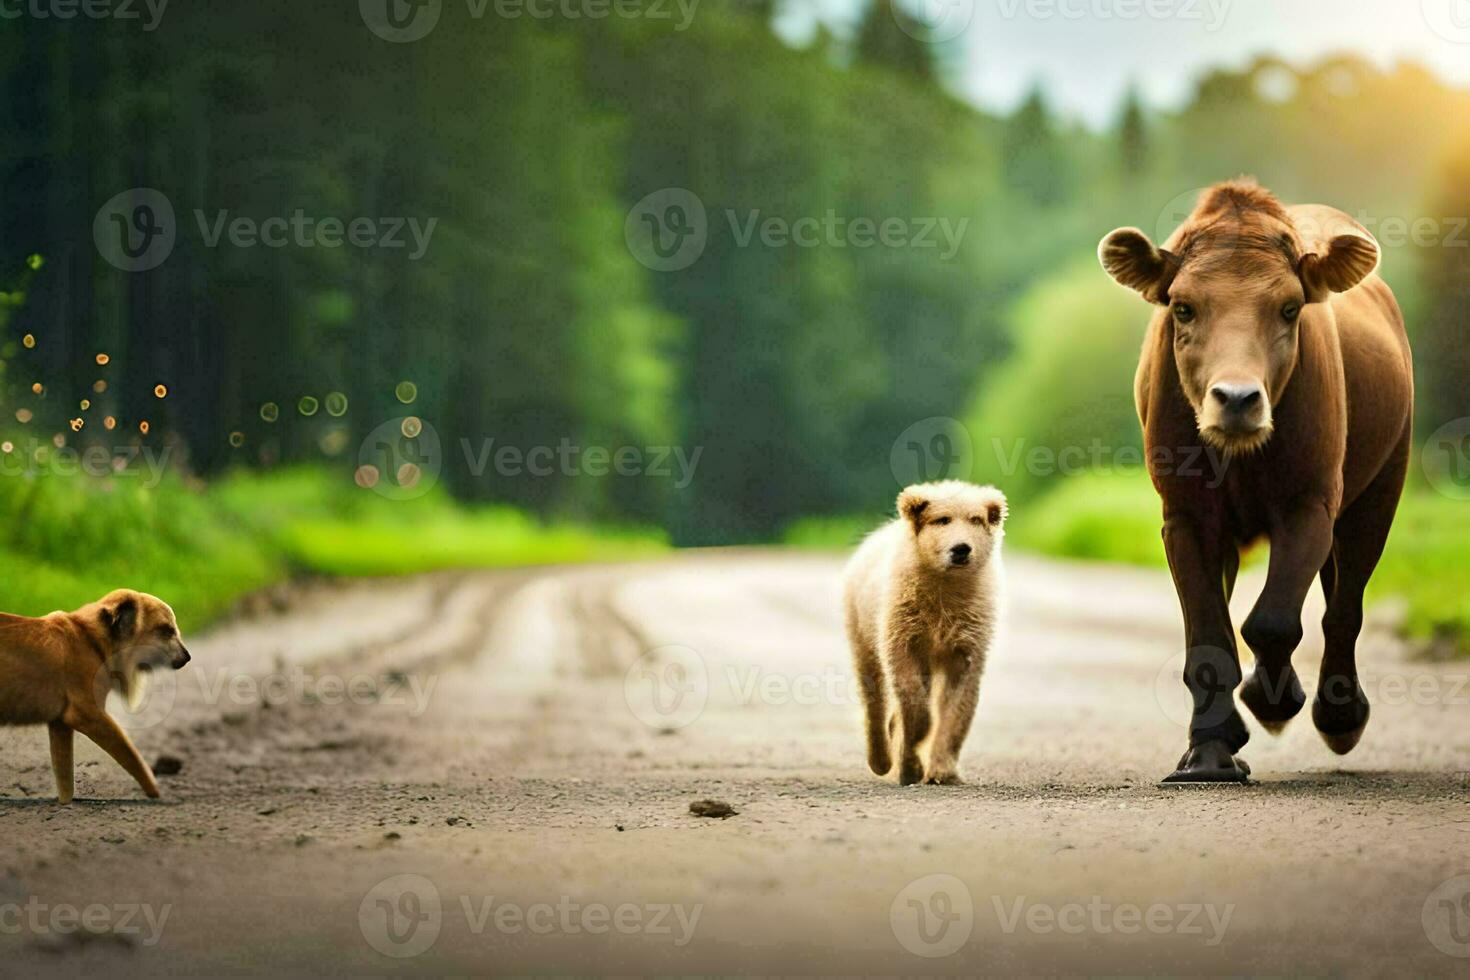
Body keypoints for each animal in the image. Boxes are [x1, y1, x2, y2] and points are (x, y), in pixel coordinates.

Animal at [0, 590, 192, 805]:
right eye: (166, 631)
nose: (187, 657)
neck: (95, 643)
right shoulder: (86, 712)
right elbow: (129, 752)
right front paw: (156, 792)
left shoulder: (60, 722)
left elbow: (64, 770)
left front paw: (65, 801)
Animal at [1105, 182, 1411, 781]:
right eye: (1183, 306)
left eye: (1289, 307)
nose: (1237, 398)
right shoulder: (1186, 515)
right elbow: (1208, 637)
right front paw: (1209, 750)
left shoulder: (1310, 502)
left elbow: (1271, 620)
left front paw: (1273, 701)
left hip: (1380, 487)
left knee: (1344, 604)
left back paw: (1340, 716)